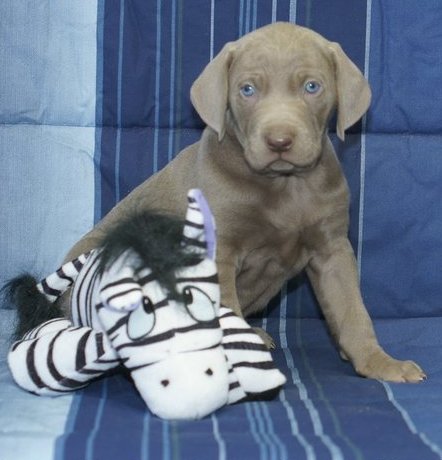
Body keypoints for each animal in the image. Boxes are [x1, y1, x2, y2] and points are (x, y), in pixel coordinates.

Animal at [65, 22, 424, 380]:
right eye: (247, 90)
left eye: (312, 86)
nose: (279, 141)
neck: (285, 185)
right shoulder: (219, 254)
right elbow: (227, 317)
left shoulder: (332, 249)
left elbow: (352, 311)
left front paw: (379, 362)